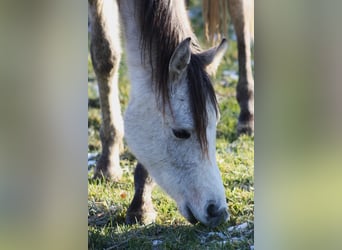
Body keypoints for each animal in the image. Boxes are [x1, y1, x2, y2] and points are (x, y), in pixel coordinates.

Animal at [89, 0, 251, 227]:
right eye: (180, 132)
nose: (217, 212)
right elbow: (105, 56)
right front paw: (108, 164)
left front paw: (141, 203)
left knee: (241, 15)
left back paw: (247, 115)